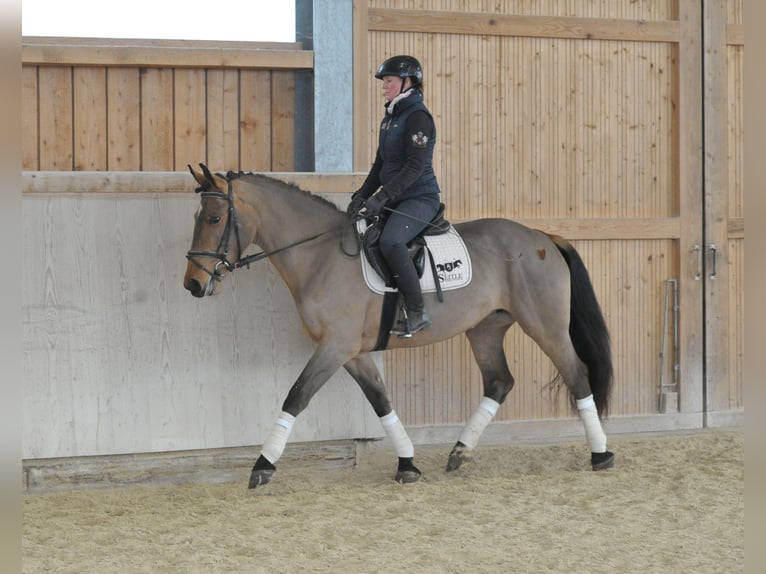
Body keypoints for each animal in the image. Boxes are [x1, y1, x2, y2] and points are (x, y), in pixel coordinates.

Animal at [183, 164, 615, 488]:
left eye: (215, 218)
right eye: (198, 217)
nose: (193, 284)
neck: (321, 256)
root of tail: (543, 236)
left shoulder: (335, 347)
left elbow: (296, 396)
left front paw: (262, 466)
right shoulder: (350, 352)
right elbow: (380, 400)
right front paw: (407, 464)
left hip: (545, 326)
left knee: (577, 375)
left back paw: (601, 455)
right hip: (485, 329)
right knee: (499, 381)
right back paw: (459, 452)